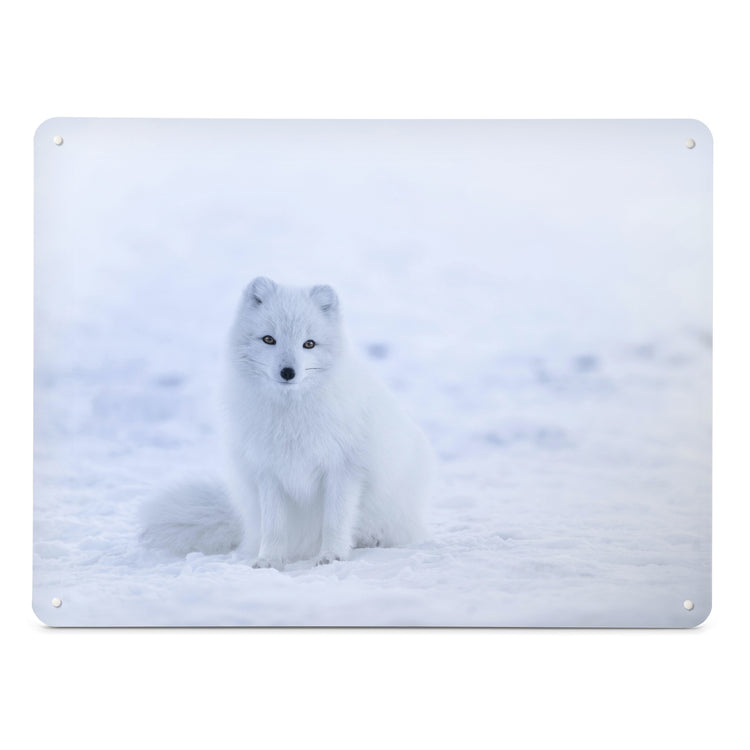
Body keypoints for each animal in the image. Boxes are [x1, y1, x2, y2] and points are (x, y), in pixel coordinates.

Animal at [140, 277, 436, 568]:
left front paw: (332, 555)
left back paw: (369, 540)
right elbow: (274, 526)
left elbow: (335, 520)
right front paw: (269, 560)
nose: (288, 372)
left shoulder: (344, 469)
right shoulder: (268, 472)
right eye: (269, 339)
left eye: (309, 344)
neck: (290, 415)